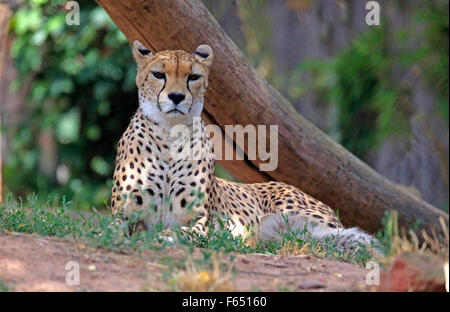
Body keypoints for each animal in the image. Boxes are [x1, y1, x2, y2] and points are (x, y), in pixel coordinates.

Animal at [111, 39, 380, 254]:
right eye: (159, 74)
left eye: (193, 77)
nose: (176, 97)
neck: (170, 136)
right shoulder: (124, 215)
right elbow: (115, 229)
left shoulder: (200, 222)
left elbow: (180, 232)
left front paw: (163, 237)